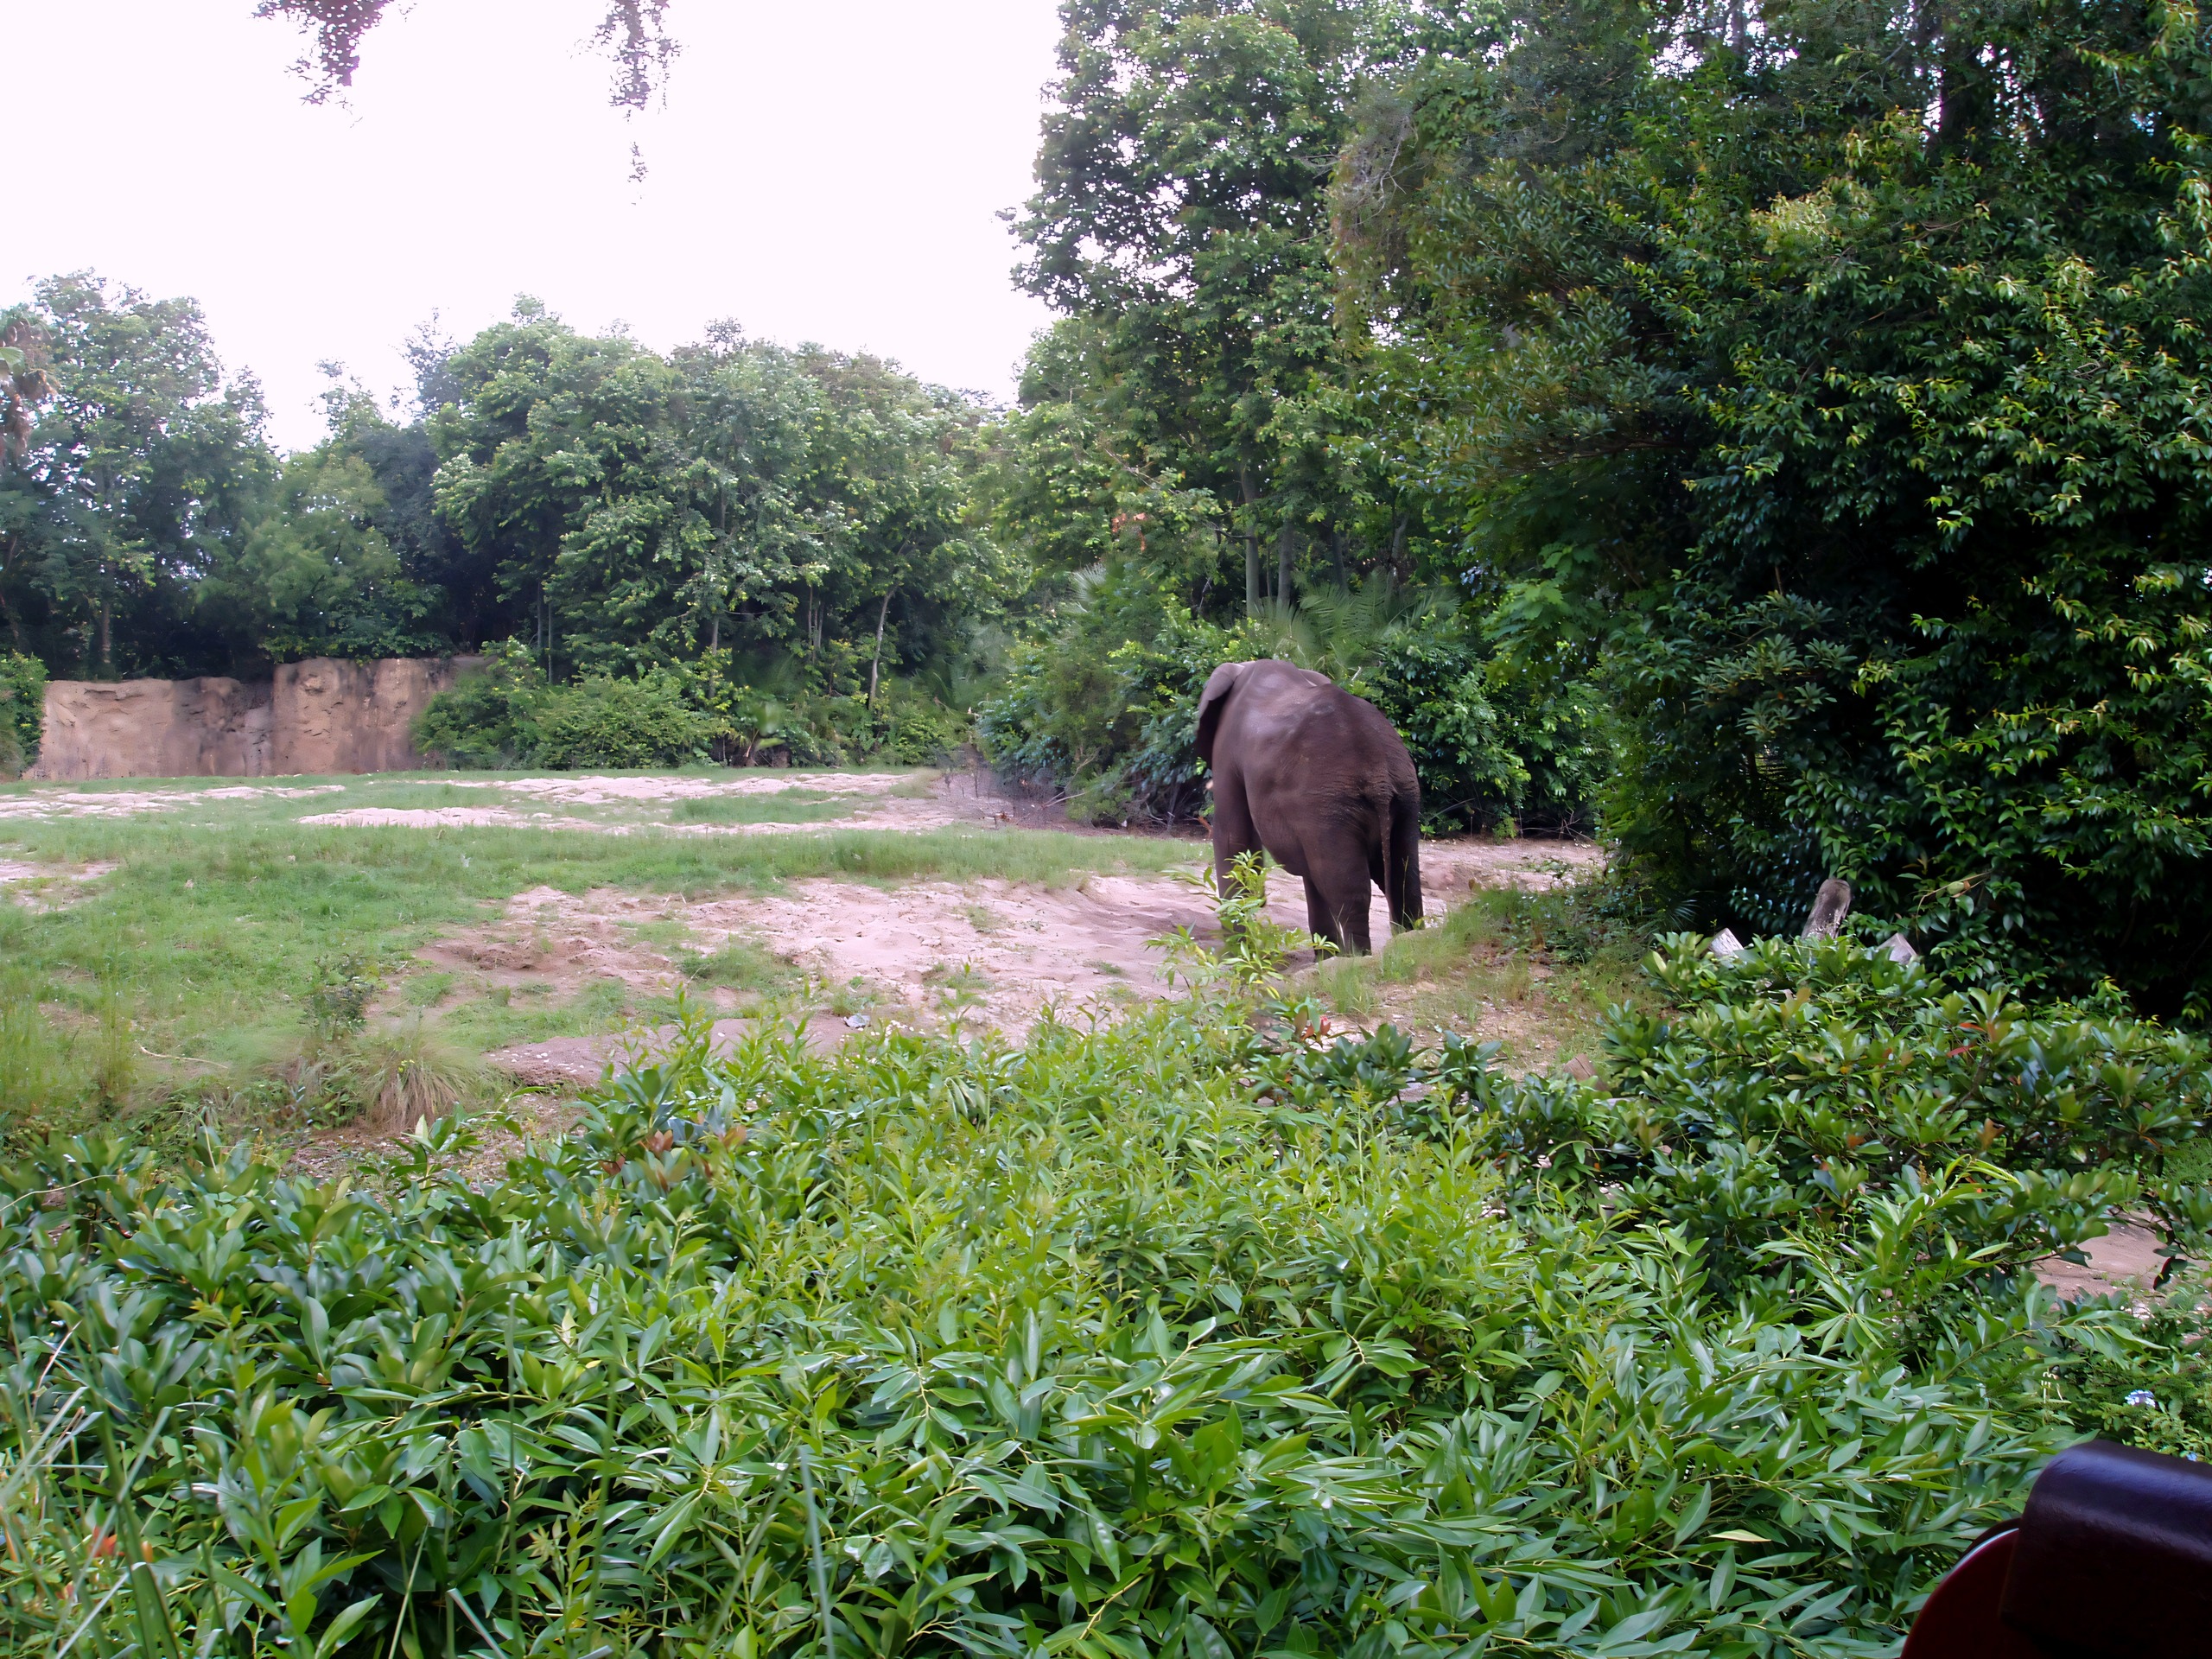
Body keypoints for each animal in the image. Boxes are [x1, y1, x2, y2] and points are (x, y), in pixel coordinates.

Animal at [1194, 658, 1422, 954]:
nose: (1262, 900)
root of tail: (1380, 777)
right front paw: (1325, 957)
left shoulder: (1227, 748)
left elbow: (1232, 838)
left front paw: (1237, 954)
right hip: (1403, 798)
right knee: (1404, 882)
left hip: (1331, 809)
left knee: (1349, 891)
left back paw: (1357, 959)